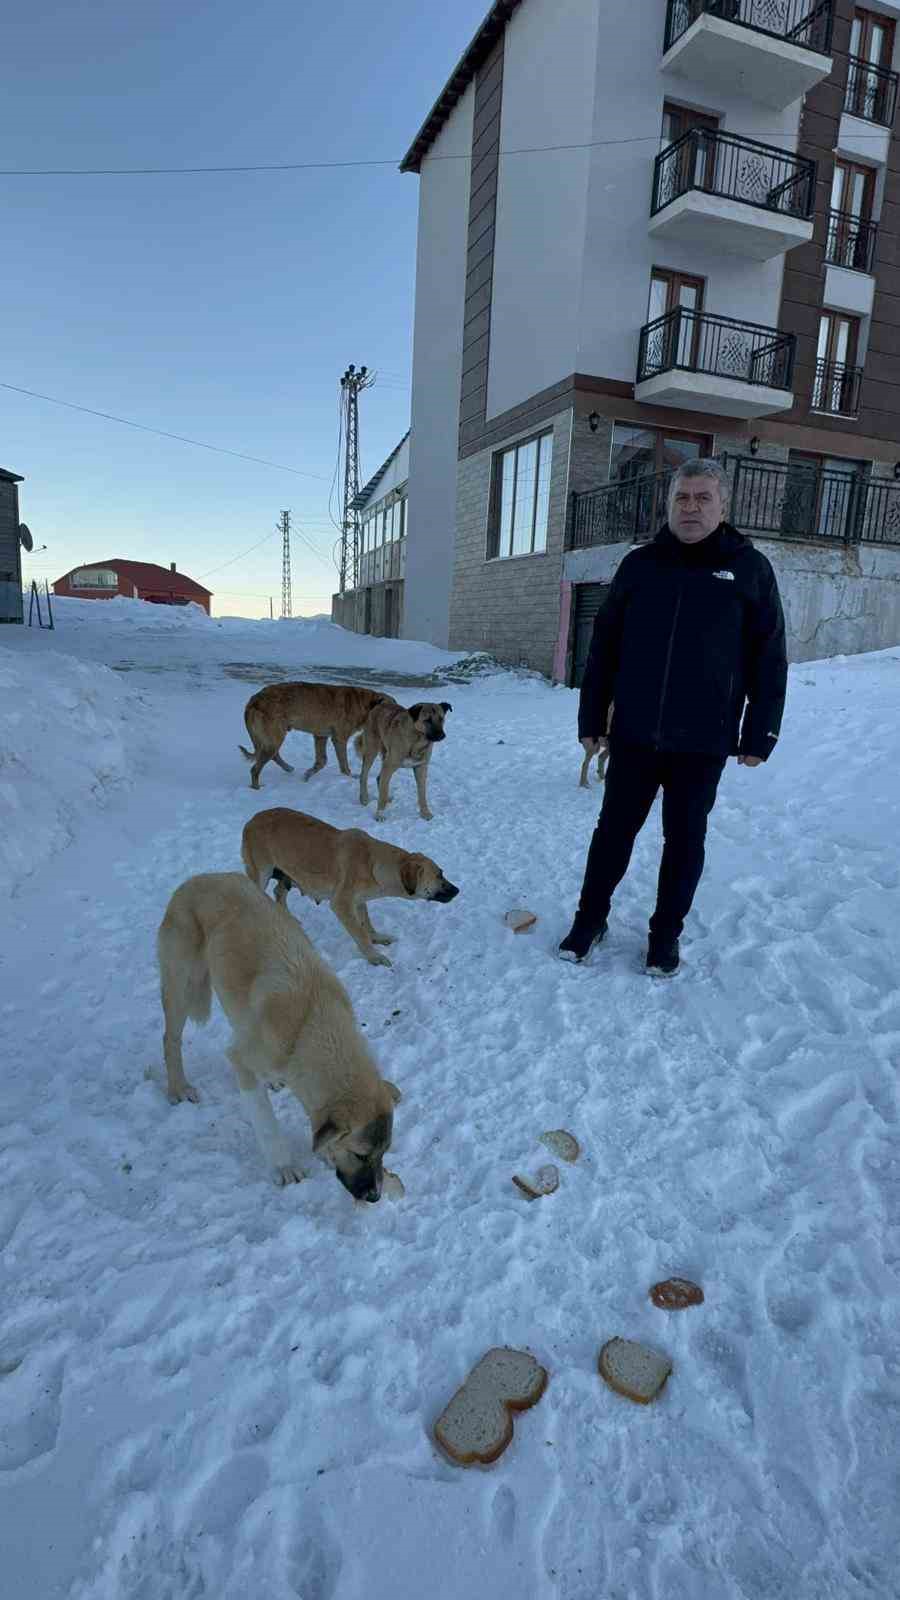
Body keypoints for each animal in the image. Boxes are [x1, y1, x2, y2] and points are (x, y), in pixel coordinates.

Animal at [156, 876, 398, 1203]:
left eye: (384, 1153)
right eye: (361, 1155)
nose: (374, 1197)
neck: (310, 1022)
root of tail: (192, 881)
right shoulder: (241, 1063)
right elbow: (267, 1124)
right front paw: (284, 1167)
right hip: (182, 988)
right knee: (170, 1040)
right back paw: (179, 1087)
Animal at [238, 681, 395, 793]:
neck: (365, 705)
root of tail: (253, 701)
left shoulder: (320, 736)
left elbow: (322, 761)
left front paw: (308, 775)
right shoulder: (339, 738)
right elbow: (344, 765)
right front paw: (350, 777)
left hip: (273, 739)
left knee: (273, 756)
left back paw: (288, 768)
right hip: (275, 738)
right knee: (255, 769)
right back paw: (256, 788)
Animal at [238, 806, 454, 966]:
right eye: (439, 875)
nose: (457, 890)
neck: (373, 863)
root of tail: (251, 820)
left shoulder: (358, 901)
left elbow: (366, 923)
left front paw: (376, 937)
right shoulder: (342, 904)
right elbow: (359, 933)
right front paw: (373, 956)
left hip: (287, 874)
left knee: (278, 893)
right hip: (261, 874)